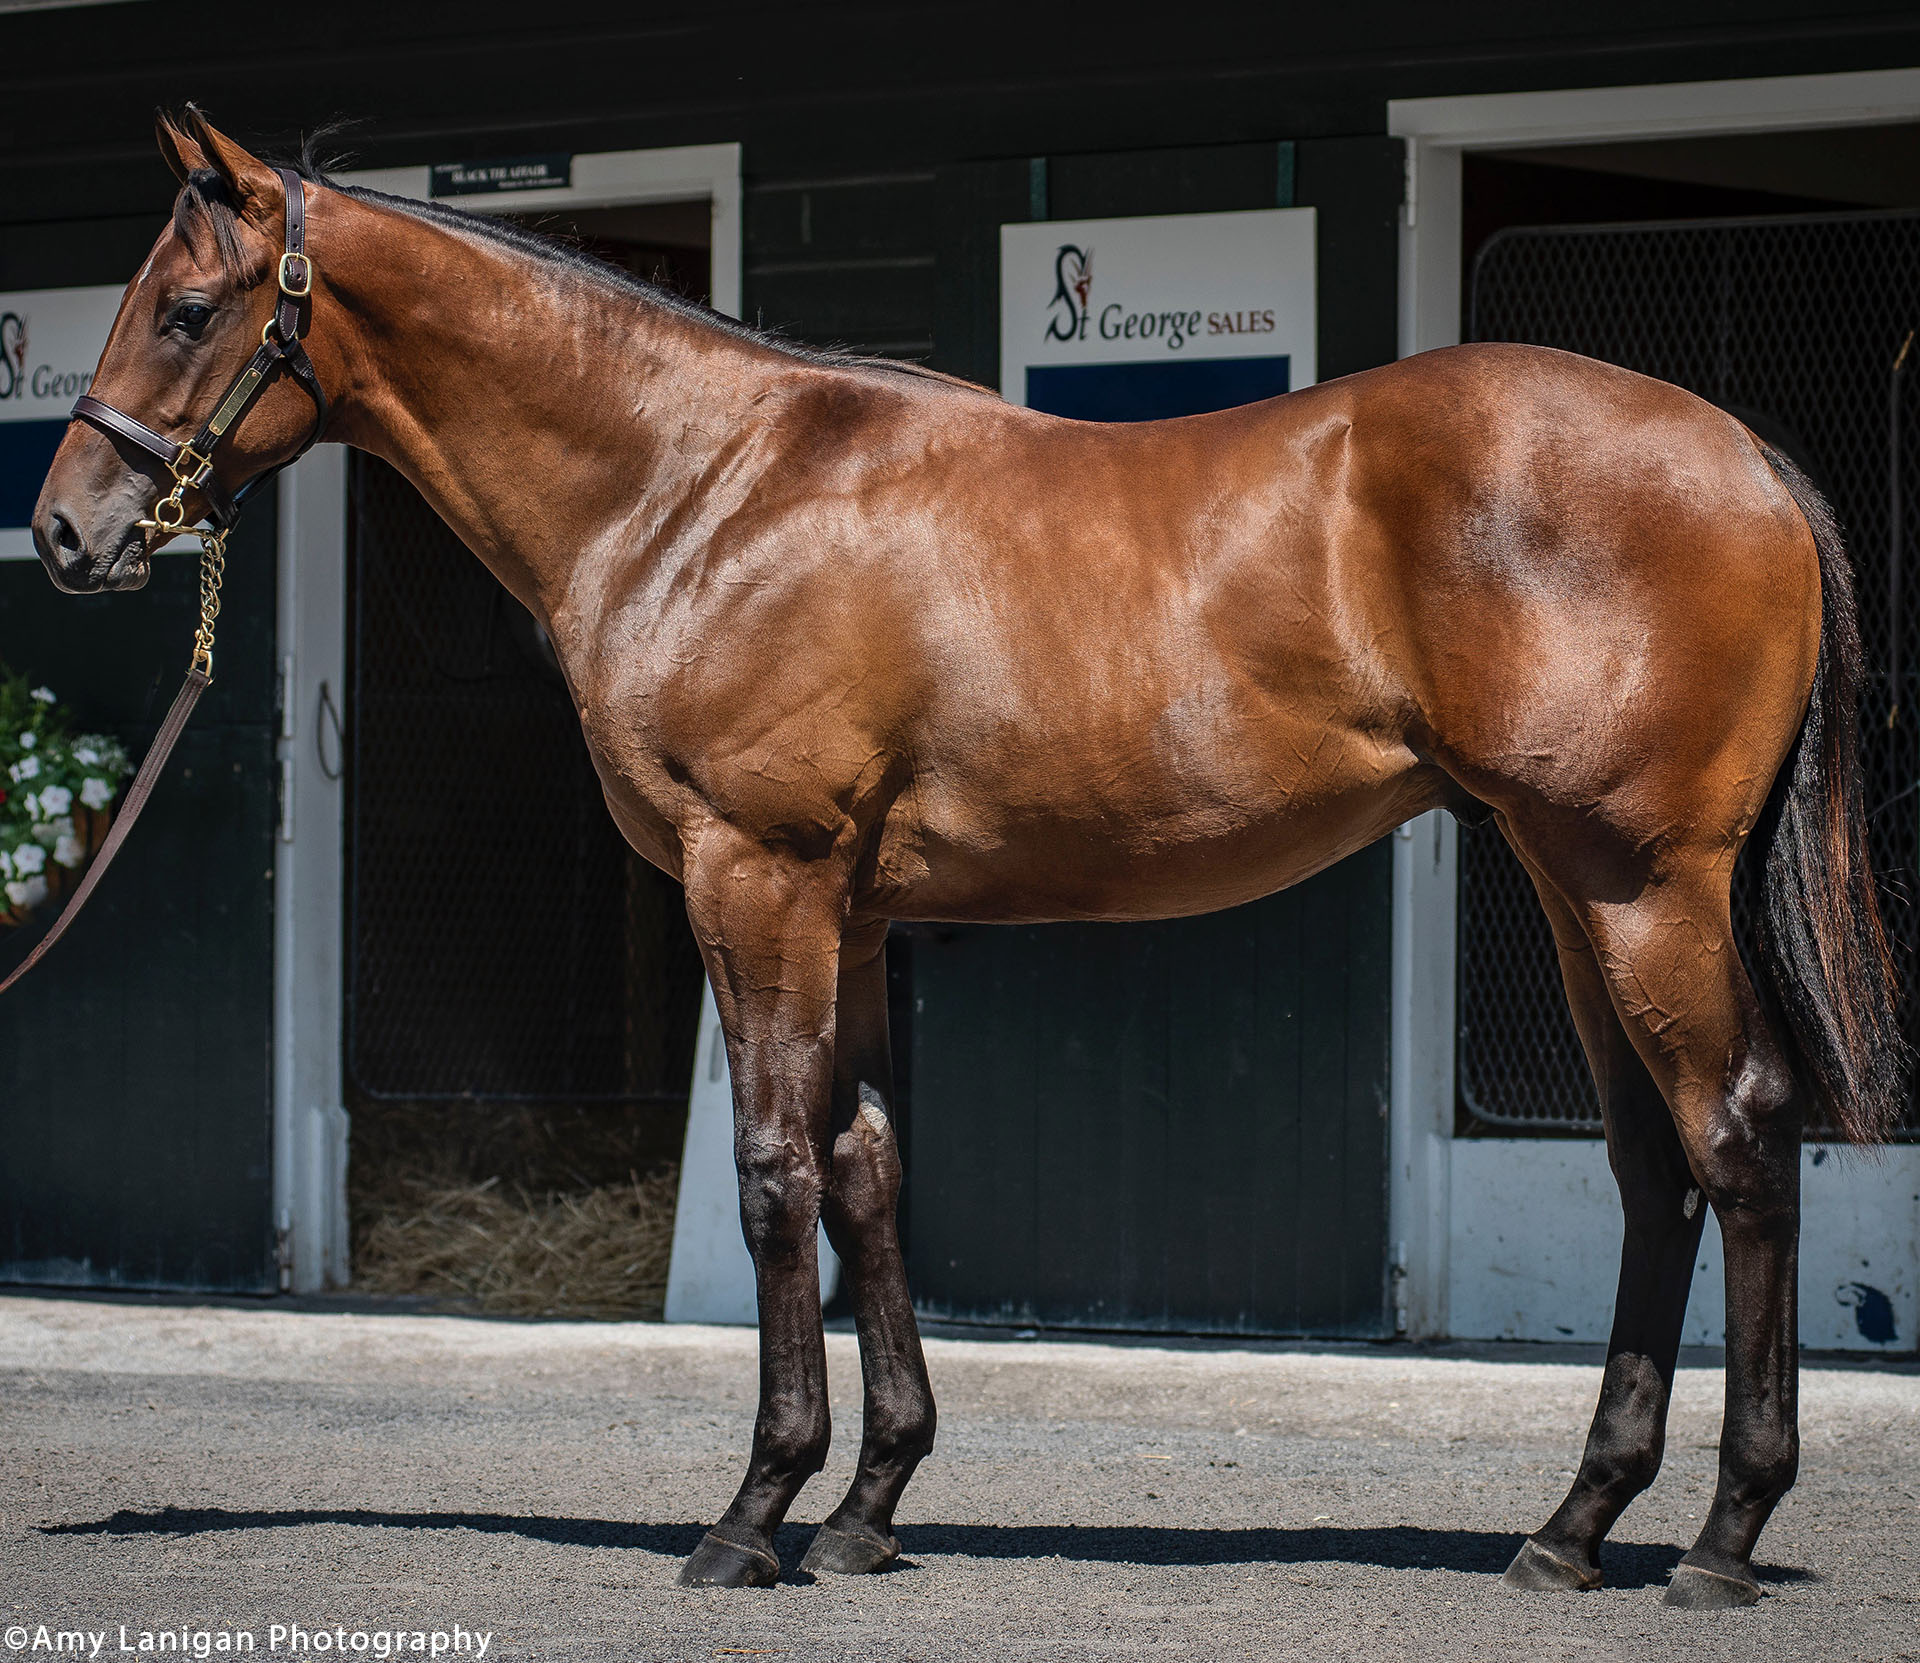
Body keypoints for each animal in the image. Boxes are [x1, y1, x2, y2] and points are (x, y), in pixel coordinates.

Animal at [30, 110, 1904, 1597]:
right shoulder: (850, 914)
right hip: (1573, 885)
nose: (66, 531)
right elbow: (865, 1165)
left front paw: (753, 1511)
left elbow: (775, 1170)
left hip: (1639, 884)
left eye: (187, 309)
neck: (700, 488)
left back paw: (1722, 1537)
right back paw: (1573, 1526)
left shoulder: (758, 876)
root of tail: (1741, 451)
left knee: (1740, 1137)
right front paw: (868, 1503)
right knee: (1653, 1168)